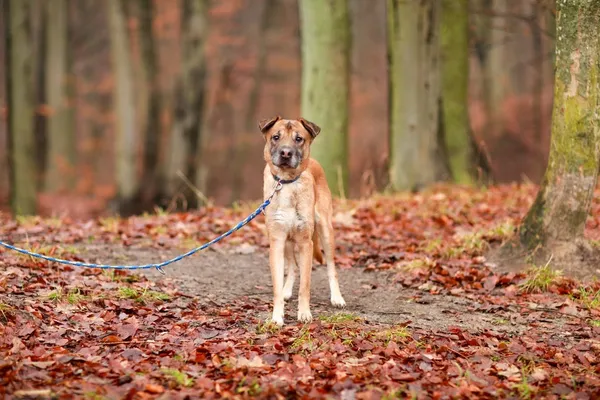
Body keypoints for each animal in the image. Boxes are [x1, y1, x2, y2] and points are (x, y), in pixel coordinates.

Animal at [258, 115, 346, 324]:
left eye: (299, 139)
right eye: (276, 137)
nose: (286, 153)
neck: (286, 182)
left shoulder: (306, 242)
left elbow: (305, 285)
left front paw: (304, 313)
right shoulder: (277, 240)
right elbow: (278, 284)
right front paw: (277, 316)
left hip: (325, 231)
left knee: (331, 267)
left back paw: (337, 297)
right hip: (288, 241)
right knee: (292, 266)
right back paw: (286, 290)